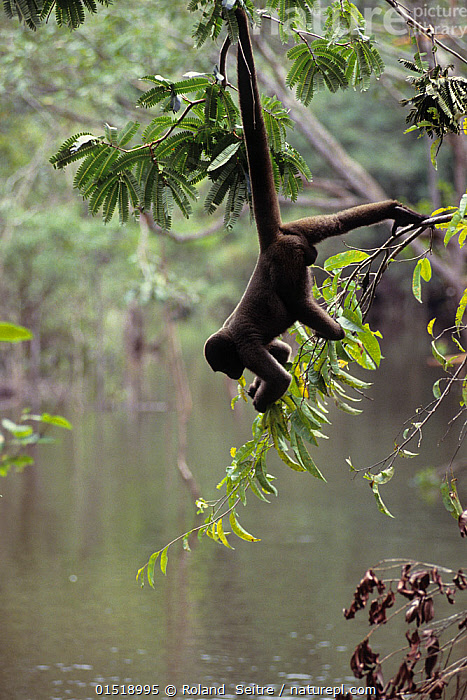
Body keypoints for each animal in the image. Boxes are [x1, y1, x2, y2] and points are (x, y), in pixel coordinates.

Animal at [203, 8, 426, 412]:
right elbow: (282, 351)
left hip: (287, 258)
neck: (229, 336)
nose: (230, 374)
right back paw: (393, 211)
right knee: (333, 223)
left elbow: (280, 375)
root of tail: (268, 246)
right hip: (297, 236)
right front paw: (258, 387)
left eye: (225, 365)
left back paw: (335, 330)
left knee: (296, 301)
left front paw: (260, 401)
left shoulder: (245, 345)